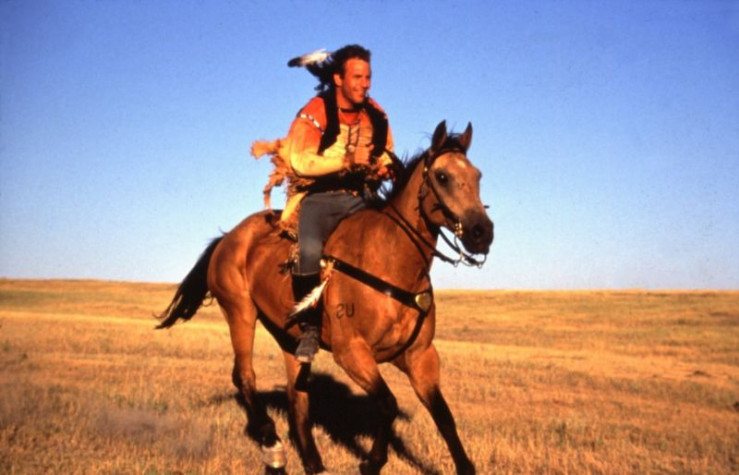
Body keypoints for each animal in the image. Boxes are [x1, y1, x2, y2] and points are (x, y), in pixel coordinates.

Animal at [157, 121, 494, 475]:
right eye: (441, 176)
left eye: (477, 176)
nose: (482, 232)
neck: (391, 262)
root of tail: (228, 238)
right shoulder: (351, 353)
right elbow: (388, 404)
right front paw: (371, 462)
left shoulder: (420, 356)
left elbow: (443, 415)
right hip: (240, 312)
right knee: (244, 376)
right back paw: (272, 446)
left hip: (289, 337)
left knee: (297, 397)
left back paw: (314, 462)